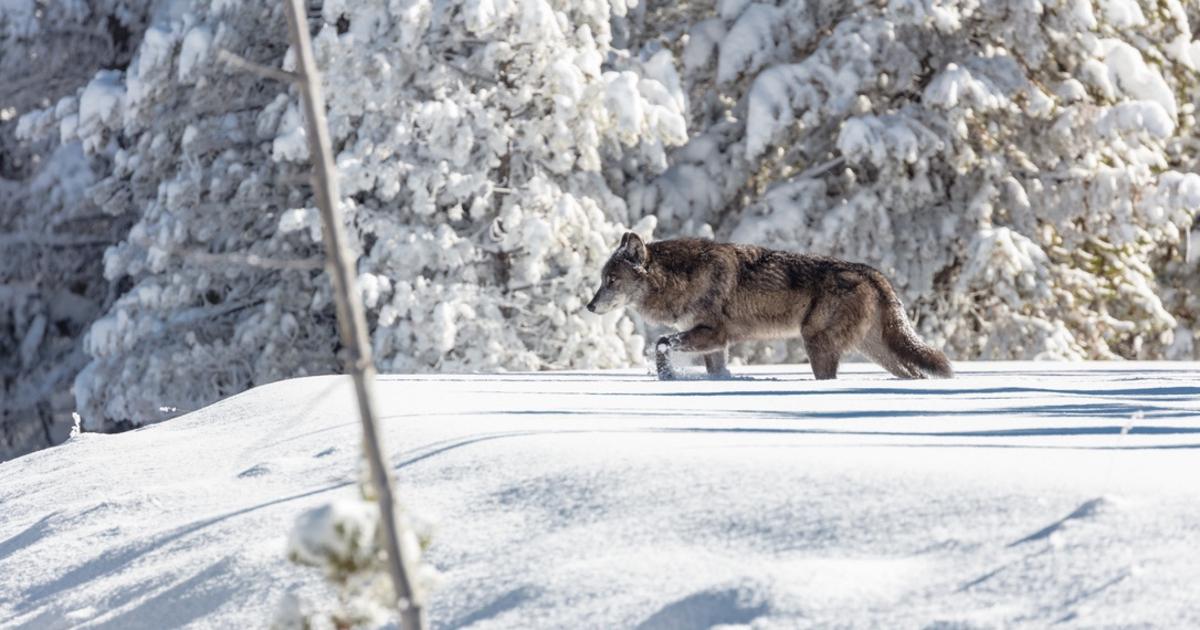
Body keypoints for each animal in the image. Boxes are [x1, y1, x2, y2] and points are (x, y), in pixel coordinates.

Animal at [586, 233, 953, 380]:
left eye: (611, 280)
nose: (589, 306)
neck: (681, 278)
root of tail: (872, 273)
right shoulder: (715, 344)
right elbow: (714, 371)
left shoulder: (712, 334)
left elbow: (661, 343)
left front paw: (667, 376)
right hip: (876, 351)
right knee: (914, 373)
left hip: (817, 343)